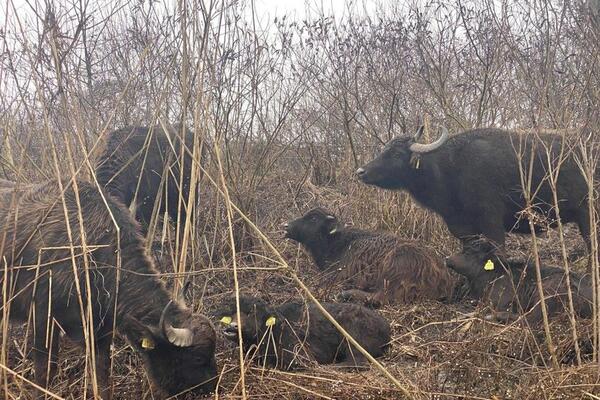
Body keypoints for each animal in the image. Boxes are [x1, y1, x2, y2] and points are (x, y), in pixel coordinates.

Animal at [0, 180, 217, 398]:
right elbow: (45, 371)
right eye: (198, 358)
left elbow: (102, 373)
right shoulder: (42, 320)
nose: (214, 385)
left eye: (212, 353)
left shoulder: (100, 331)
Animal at [284, 208, 458, 304]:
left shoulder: (337, 275)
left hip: (392, 271)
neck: (339, 244)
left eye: (313, 218)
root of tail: (444, 277)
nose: (286, 226)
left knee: (382, 297)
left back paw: (347, 294)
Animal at [356, 126, 592, 250]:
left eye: (396, 154)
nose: (360, 171)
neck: (450, 168)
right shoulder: (463, 231)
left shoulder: (492, 223)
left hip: (587, 215)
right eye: (384, 149)